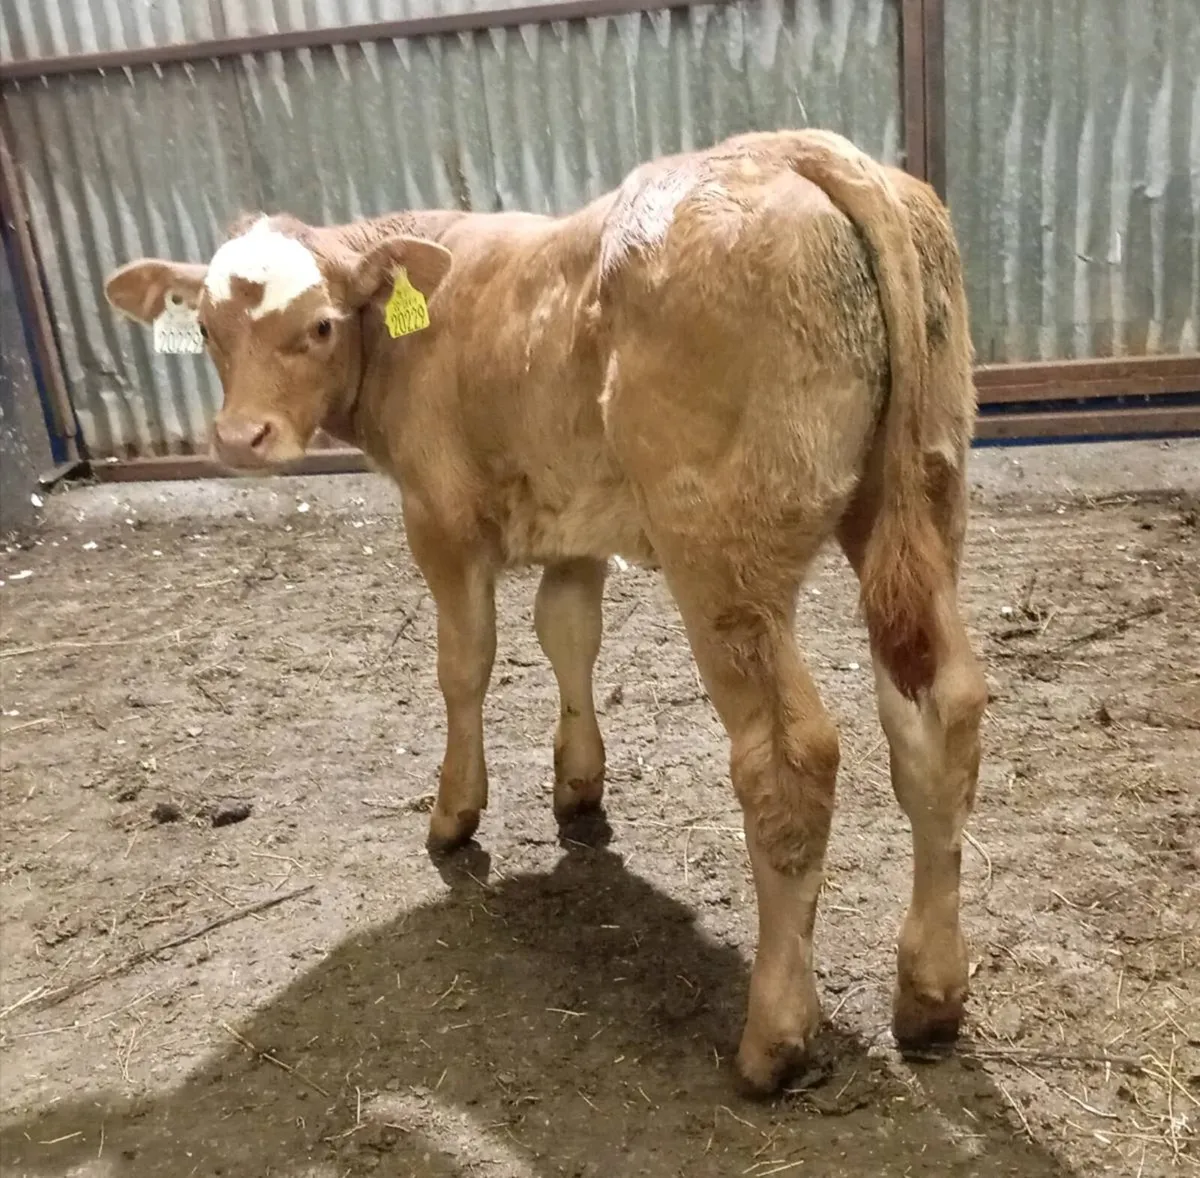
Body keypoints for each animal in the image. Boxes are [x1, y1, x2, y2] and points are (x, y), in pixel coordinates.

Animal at [104, 128, 988, 1098]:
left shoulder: (439, 517)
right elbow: (569, 636)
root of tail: (795, 148)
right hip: (921, 500)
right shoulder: (575, 520)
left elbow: (465, 664)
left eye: (323, 325)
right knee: (939, 713)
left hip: (721, 551)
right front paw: (577, 785)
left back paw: (775, 1038)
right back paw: (931, 996)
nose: (240, 438)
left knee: (791, 759)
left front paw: (455, 814)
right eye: (209, 329)